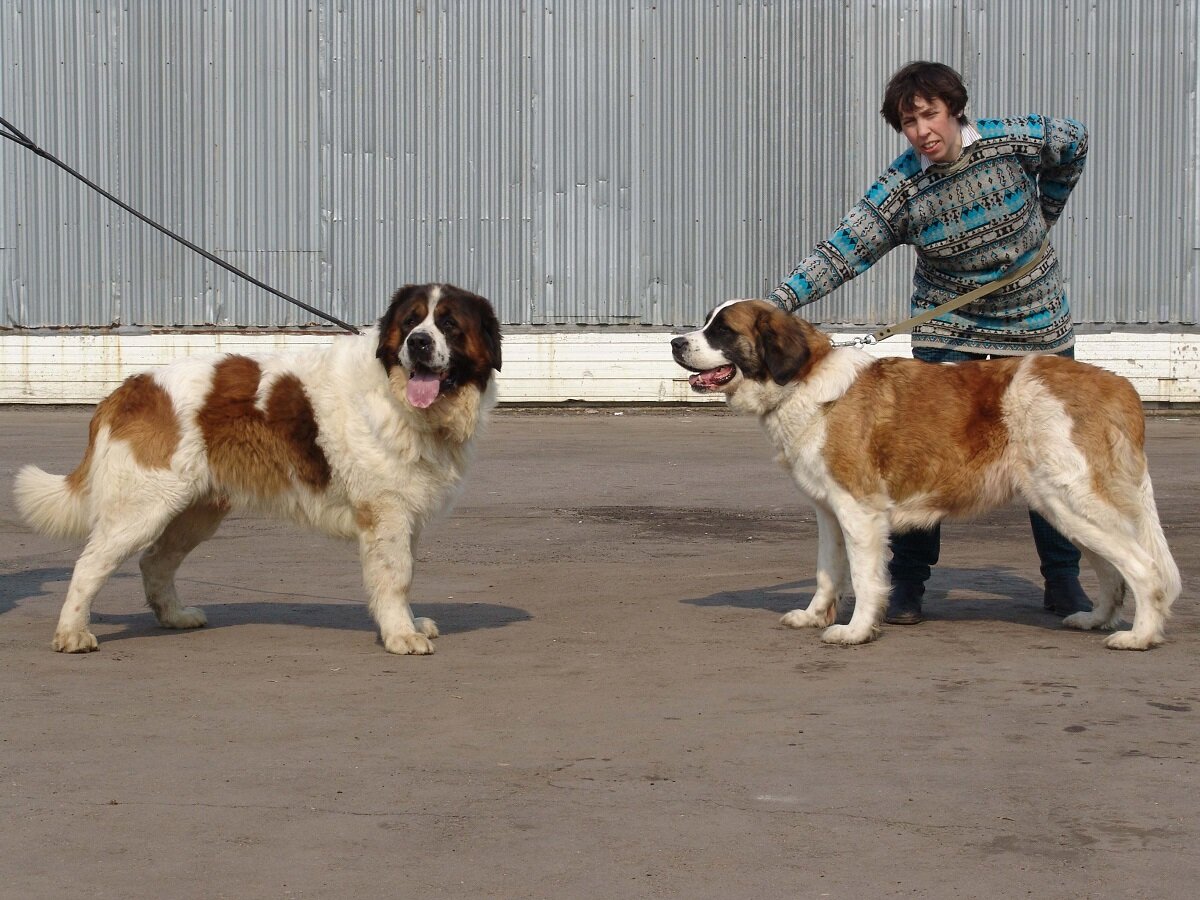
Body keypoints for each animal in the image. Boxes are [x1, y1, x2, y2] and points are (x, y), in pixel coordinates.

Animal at [14, 282, 501, 657]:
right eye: (410, 322)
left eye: (449, 325)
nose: (417, 343)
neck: (399, 394)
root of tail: (128, 388)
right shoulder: (386, 513)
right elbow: (396, 577)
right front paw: (401, 635)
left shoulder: (406, 513)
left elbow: (404, 574)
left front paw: (410, 624)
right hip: (142, 507)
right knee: (90, 563)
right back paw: (72, 633)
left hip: (196, 511)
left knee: (155, 561)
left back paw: (175, 616)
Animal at [676, 301, 1180, 648]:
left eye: (722, 331)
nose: (675, 342)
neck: (802, 380)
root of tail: (1119, 384)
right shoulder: (829, 511)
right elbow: (826, 572)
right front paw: (814, 615)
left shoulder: (859, 510)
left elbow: (864, 576)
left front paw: (855, 631)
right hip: (1065, 509)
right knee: (1114, 569)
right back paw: (1096, 619)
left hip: (1072, 499)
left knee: (1144, 568)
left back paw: (1139, 637)